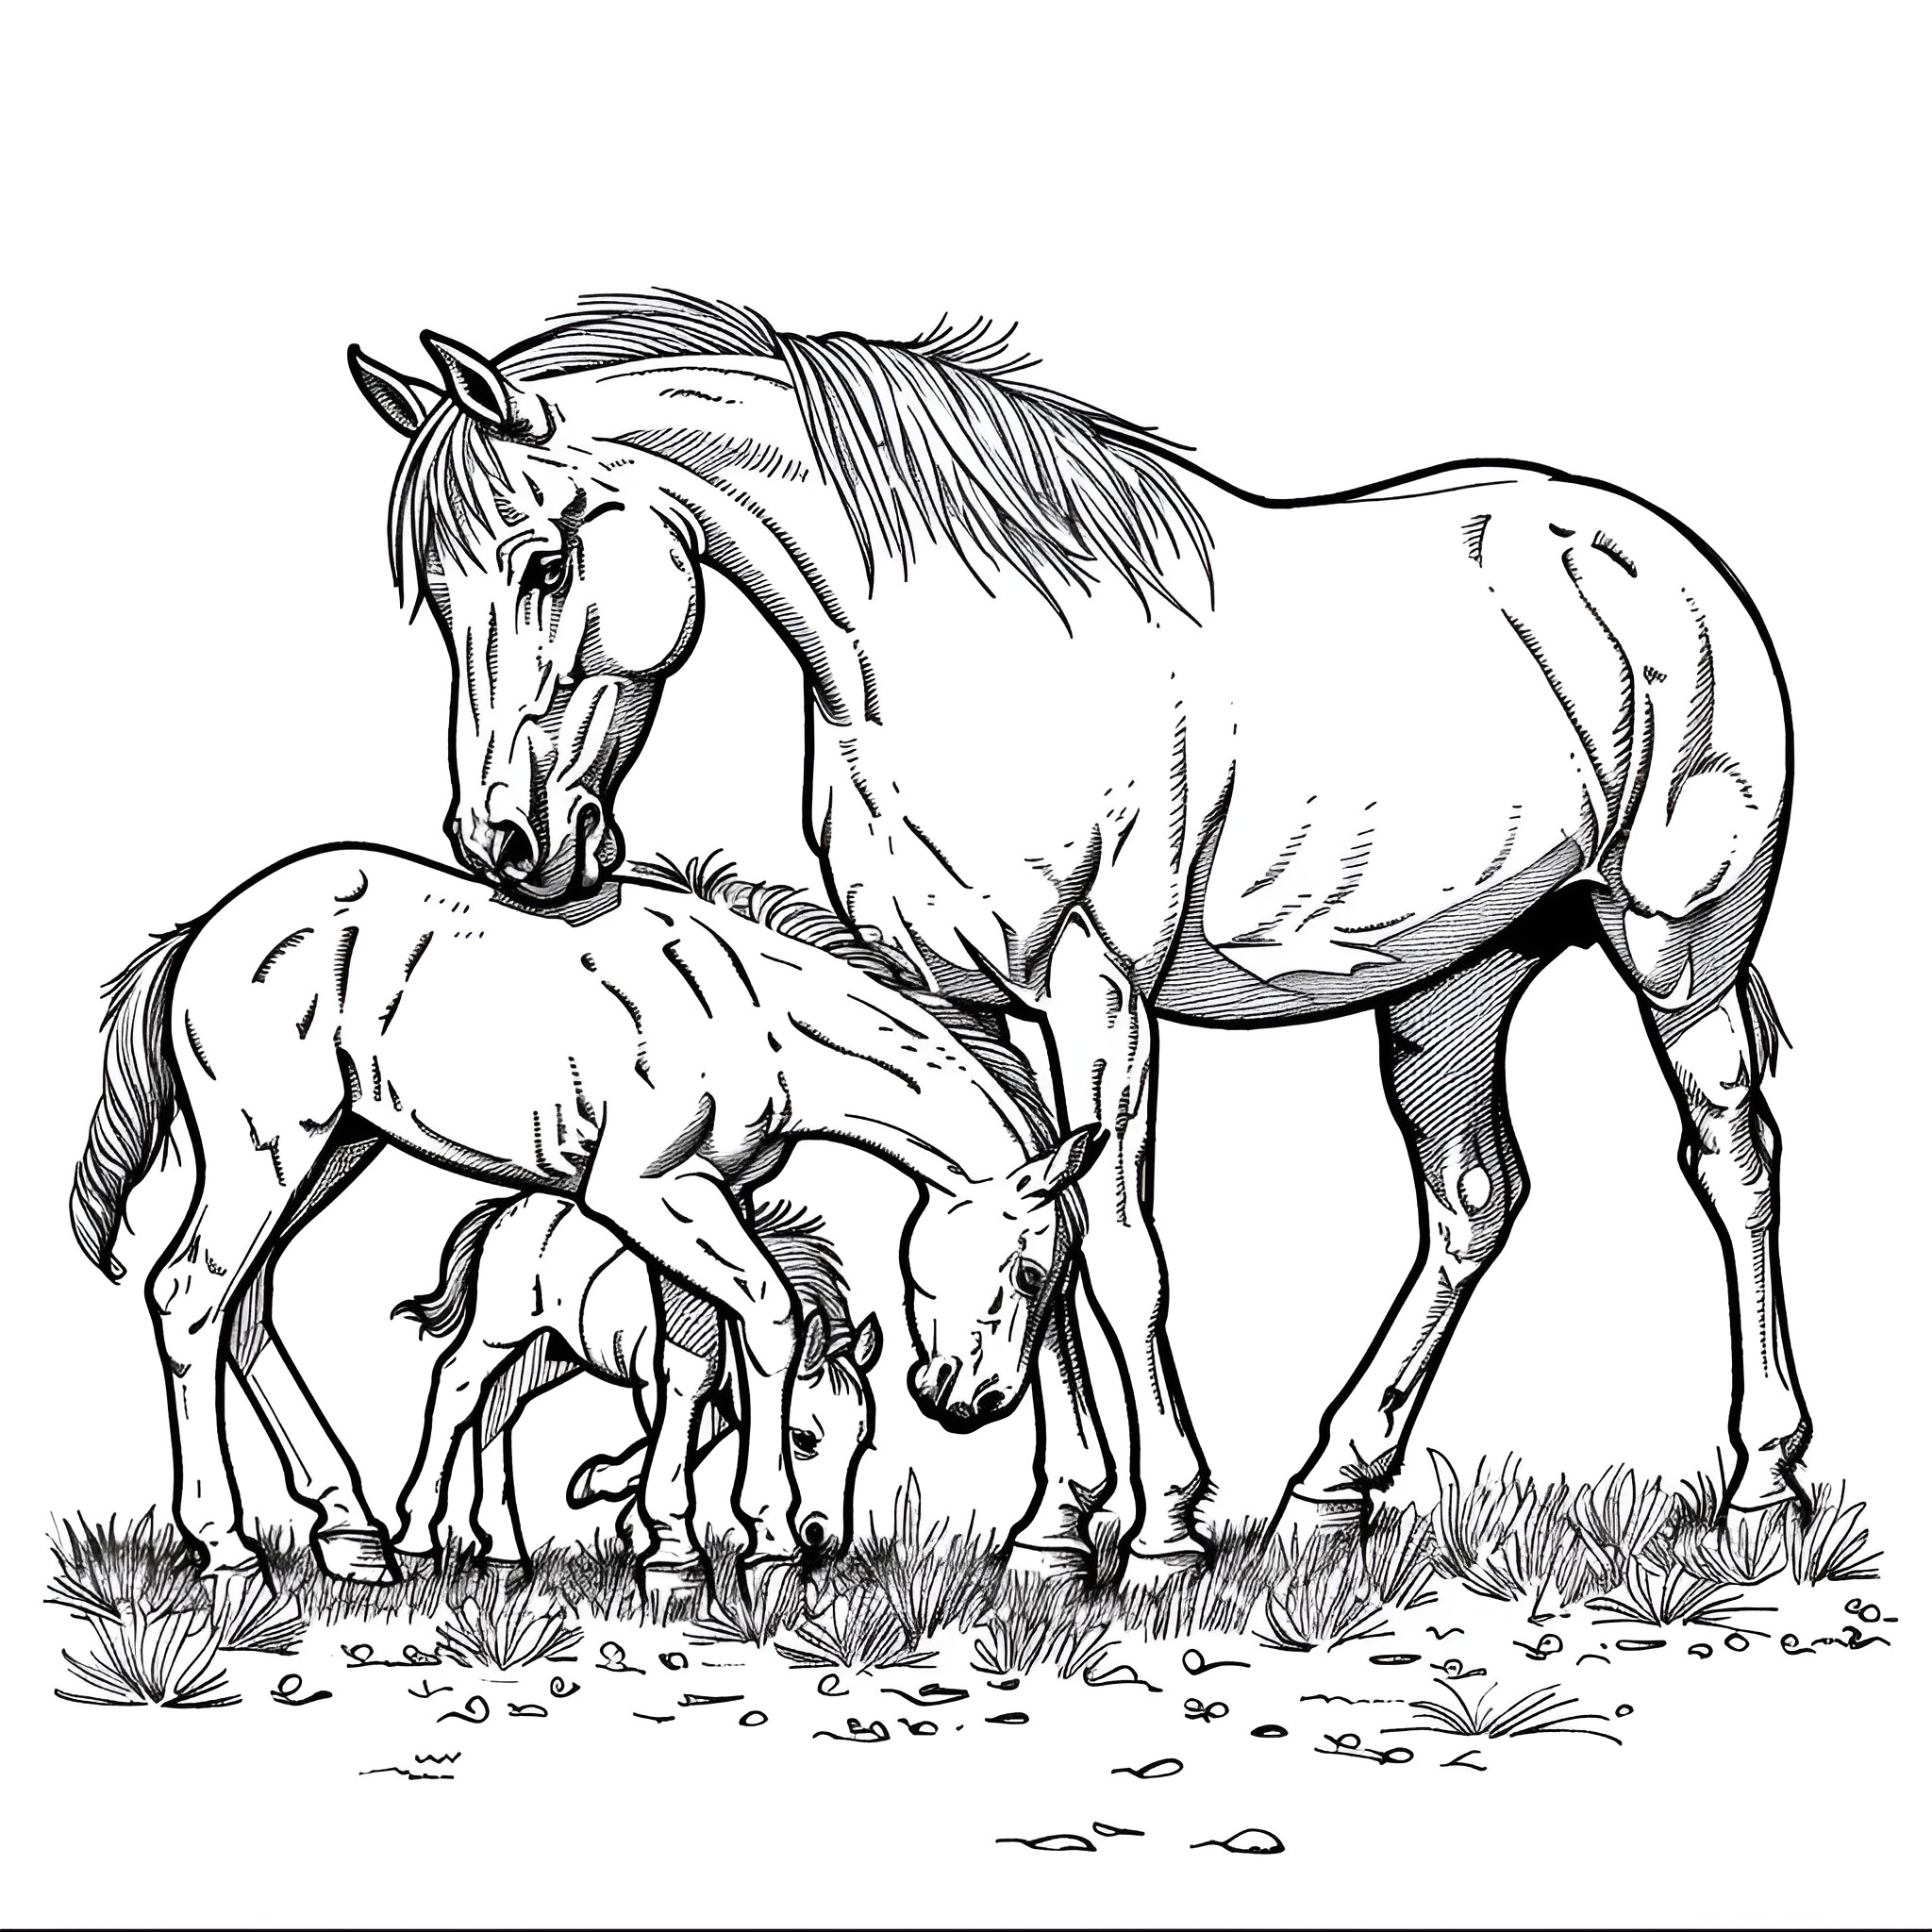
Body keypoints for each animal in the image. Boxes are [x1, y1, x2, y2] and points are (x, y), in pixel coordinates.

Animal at [393, 1193, 882, 1576]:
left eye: (862, 1446)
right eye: (803, 1439)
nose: (824, 1539)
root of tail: (508, 1208)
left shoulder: (722, 1399)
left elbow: (686, 1444)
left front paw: (610, 1499)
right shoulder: (660, 1383)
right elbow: (668, 1442)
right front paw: (628, 1510)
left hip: (548, 1352)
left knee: (499, 1408)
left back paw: (506, 1552)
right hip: (497, 1333)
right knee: (457, 1385)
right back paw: (417, 1534)